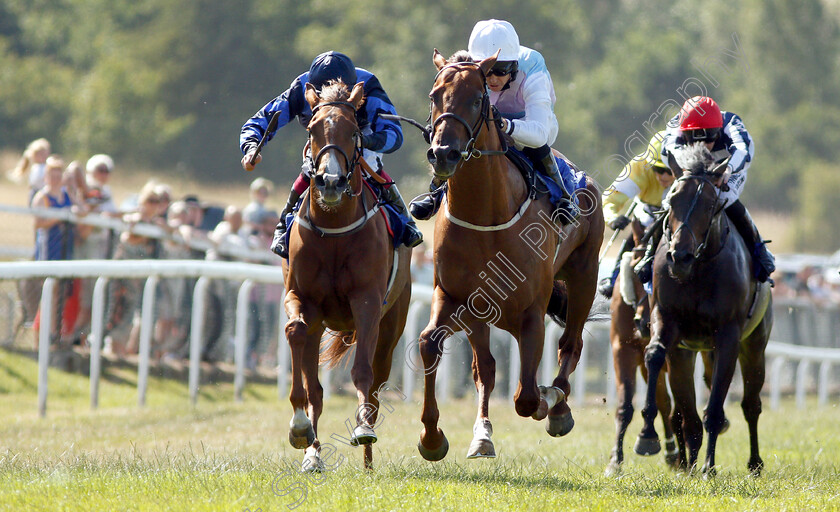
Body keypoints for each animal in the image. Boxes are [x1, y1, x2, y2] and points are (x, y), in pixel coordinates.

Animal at [282, 82, 414, 470]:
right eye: (313, 130)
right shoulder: (302, 298)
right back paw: (313, 452)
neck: (334, 229)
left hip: (393, 321)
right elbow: (295, 333)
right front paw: (300, 429)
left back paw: (368, 457)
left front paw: (363, 429)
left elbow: (363, 372)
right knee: (316, 386)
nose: (330, 181)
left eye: (354, 131)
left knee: (377, 382)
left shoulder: (367, 301)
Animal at [416, 50, 604, 462]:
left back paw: (559, 406)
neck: (484, 215)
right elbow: (430, 344)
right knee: (485, 367)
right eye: (434, 96)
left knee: (571, 344)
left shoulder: (532, 310)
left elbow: (527, 397)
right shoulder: (455, 297)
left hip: (584, 274)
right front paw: (432, 437)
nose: (443, 154)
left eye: (476, 99)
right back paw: (482, 434)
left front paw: (549, 401)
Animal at [636, 141, 768, 476]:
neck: (698, 270)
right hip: (686, 353)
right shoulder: (666, 320)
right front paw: (647, 435)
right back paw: (690, 463)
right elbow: (655, 355)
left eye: (710, 205)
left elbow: (716, 406)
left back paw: (753, 463)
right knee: (689, 414)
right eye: (672, 201)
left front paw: (709, 465)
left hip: (755, 344)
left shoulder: (728, 336)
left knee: (751, 405)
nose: (679, 256)